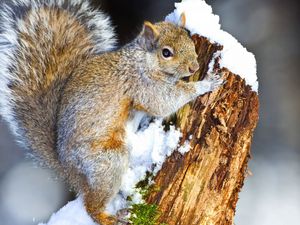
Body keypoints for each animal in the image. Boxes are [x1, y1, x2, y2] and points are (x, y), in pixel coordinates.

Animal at [0, 0, 221, 224]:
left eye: (190, 41)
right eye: (166, 52)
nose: (194, 67)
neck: (143, 60)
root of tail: (68, 170)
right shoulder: (142, 84)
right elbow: (163, 102)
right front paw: (205, 83)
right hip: (107, 162)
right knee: (92, 205)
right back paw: (109, 217)